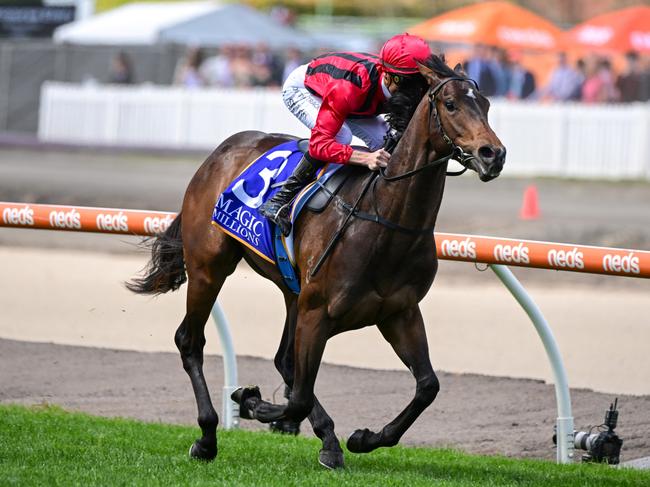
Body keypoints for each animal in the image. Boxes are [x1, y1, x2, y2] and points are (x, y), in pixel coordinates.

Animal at [125, 55, 502, 470]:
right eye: (450, 104)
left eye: (485, 105)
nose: (493, 154)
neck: (384, 220)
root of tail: (220, 151)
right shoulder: (317, 311)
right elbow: (300, 397)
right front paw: (252, 402)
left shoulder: (398, 312)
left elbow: (427, 386)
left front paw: (364, 438)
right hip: (210, 268)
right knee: (190, 341)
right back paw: (207, 437)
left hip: (292, 290)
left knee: (284, 361)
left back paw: (327, 438)